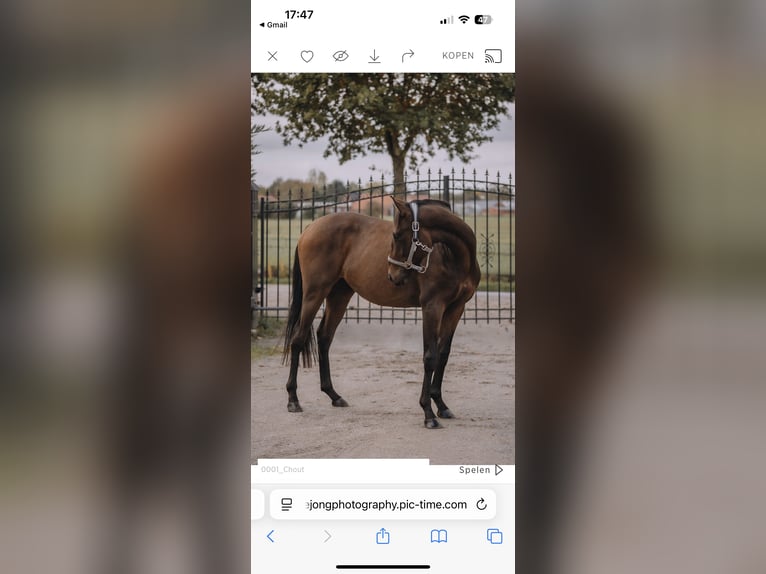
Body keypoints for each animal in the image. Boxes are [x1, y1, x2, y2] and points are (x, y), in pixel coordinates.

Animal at [282, 196, 481, 428]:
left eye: (396, 235)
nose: (392, 275)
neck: (454, 256)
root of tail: (310, 228)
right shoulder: (432, 307)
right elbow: (430, 357)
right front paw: (428, 413)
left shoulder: (456, 308)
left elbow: (443, 354)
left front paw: (440, 405)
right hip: (314, 293)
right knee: (298, 338)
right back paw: (293, 399)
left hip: (339, 295)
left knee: (324, 338)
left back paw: (334, 395)